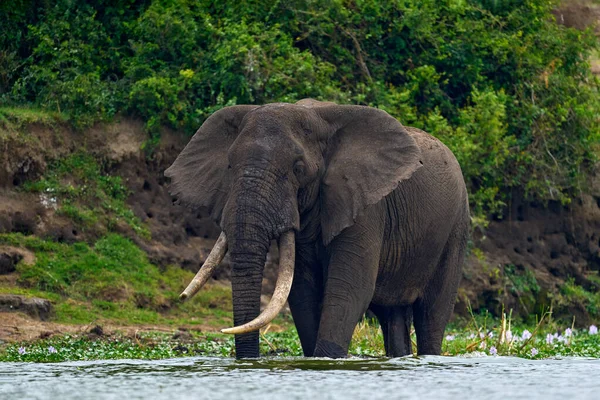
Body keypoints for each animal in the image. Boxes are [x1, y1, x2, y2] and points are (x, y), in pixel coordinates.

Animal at [164, 99, 468, 360]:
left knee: (432, 314)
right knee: (391, 316)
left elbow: (350, 289)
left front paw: (327, 359)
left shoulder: (366, 206)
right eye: (229, 165)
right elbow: (302, 291)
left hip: (456, 228)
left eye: (298, 168)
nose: (180, 297)